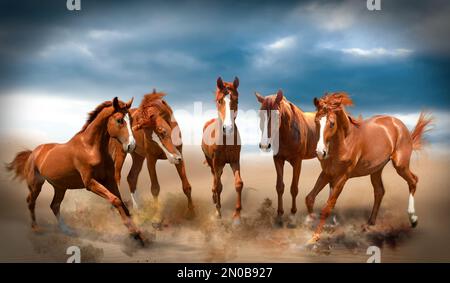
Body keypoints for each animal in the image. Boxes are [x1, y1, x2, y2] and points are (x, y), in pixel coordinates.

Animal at [5, 97, 146, 244]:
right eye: (119, 120)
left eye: (131, 119)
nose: (131, 146)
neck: (91, 148)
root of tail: (33, 152)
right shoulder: (90, 183)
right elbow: (115, 200)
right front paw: (134, 233)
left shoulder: (109, 181)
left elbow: (122, 204)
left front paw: (139, 236)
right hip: (36, 184)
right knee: (31, 201)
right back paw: (36, 229)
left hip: (60, 187)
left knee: (54, 205)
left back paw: (67, 230)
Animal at [110, 91, 193, 224]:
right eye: (150, 138)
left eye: (163, 132)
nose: (173, 158)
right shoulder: (151, 159)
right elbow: (155, 188)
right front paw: (157, 218)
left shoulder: (180, 154)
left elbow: (186, 186)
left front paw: (191, 213)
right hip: (121, 153)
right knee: (117, 176)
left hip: (137, 156)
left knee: (131, 177)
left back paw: (137, 210)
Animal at [201, 76, 243, 225]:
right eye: (220, 101)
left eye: (236, 100)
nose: (228, 128)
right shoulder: (216, 162)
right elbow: (218, 186)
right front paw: (218, 212)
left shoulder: (235, 160)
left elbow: (238, 184)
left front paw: (237, 216)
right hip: (211, 162)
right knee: (215, 179)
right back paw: (214, 199)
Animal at [255, 90, 318, 227]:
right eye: (260, 114)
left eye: (277, 114)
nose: (264, 145)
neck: (287, 133)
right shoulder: (278, 159)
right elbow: (280, 187)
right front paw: (279, 216)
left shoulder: (297, 162)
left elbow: (294, 188)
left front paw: (293, 216)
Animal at [306, 93, 432, 244]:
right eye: (316, 121)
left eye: (332, 123)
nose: (320, 152)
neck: (345, 142)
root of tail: (399, 124)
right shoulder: (327, 173)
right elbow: (310, 198)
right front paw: (310, 224)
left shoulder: (342, 177)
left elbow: (328, 207)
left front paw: (314, 237)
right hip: (376, 169)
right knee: (379, 191)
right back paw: (368, 225)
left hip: (400, 165)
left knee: (413, 180)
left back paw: (413, 220)